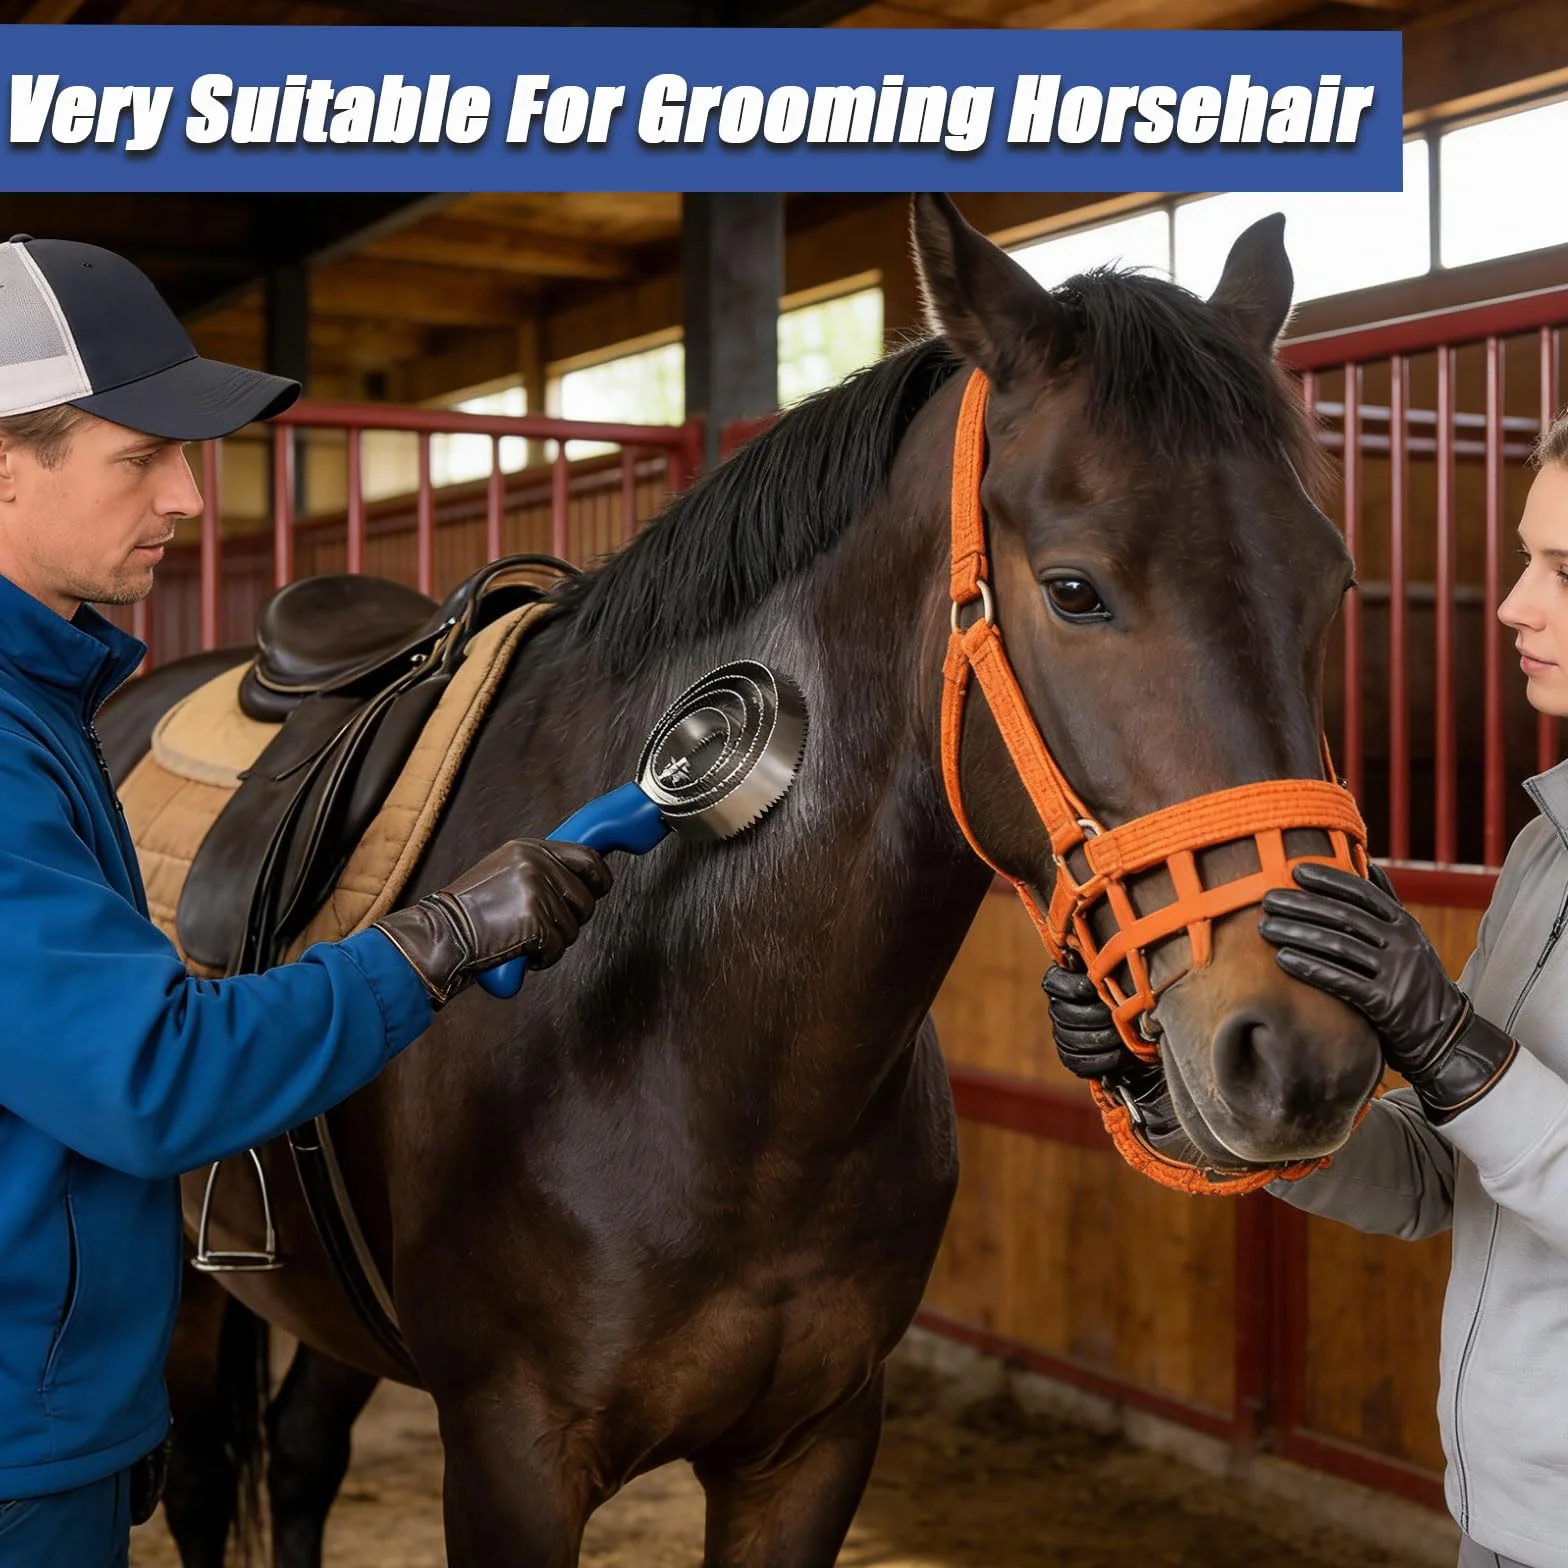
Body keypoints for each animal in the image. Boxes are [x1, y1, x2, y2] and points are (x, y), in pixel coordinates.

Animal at [102, 192, 1381, 1567]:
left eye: (1331, 582)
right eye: (1074, 589)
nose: (1300, 1051)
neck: (718, 1061)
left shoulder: (810, 1447)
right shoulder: (507, 1455)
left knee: (297, 1452)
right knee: (202, 1477)